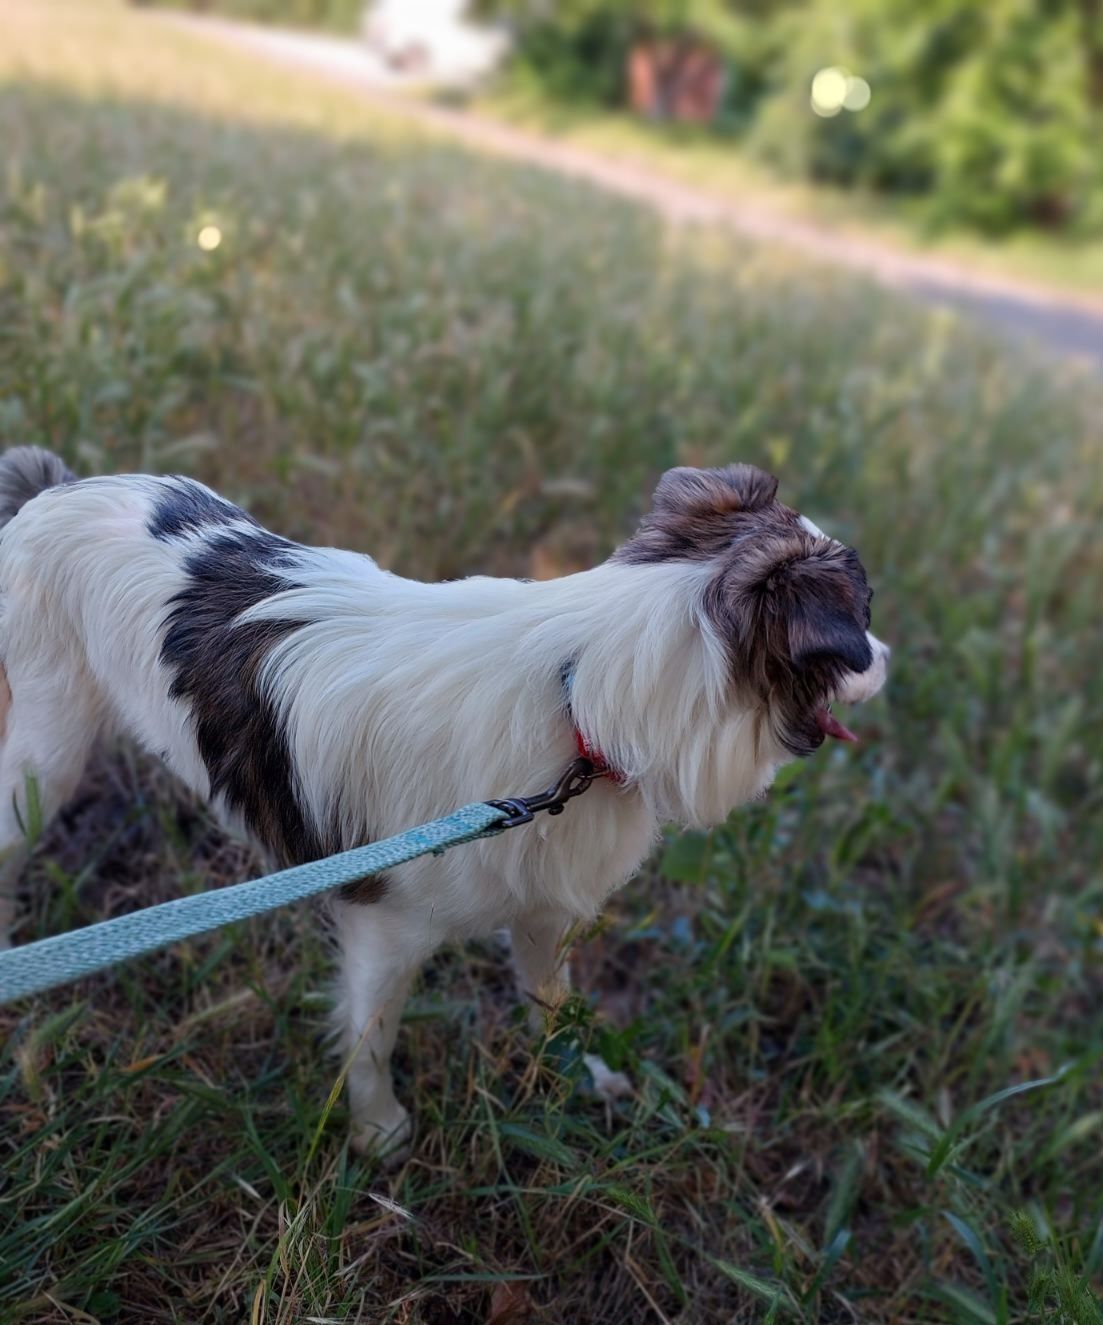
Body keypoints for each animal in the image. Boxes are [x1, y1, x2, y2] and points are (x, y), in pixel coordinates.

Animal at [0, 450, 885, 1155]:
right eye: (865, 614)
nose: (886, 655)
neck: (578, 698)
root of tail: (55, 488)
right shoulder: (384, 928)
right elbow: (371, 1035)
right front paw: (378, 1131)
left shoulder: (541, 908)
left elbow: (551, 1000)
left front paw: (574, 1074)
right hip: (48, 750)